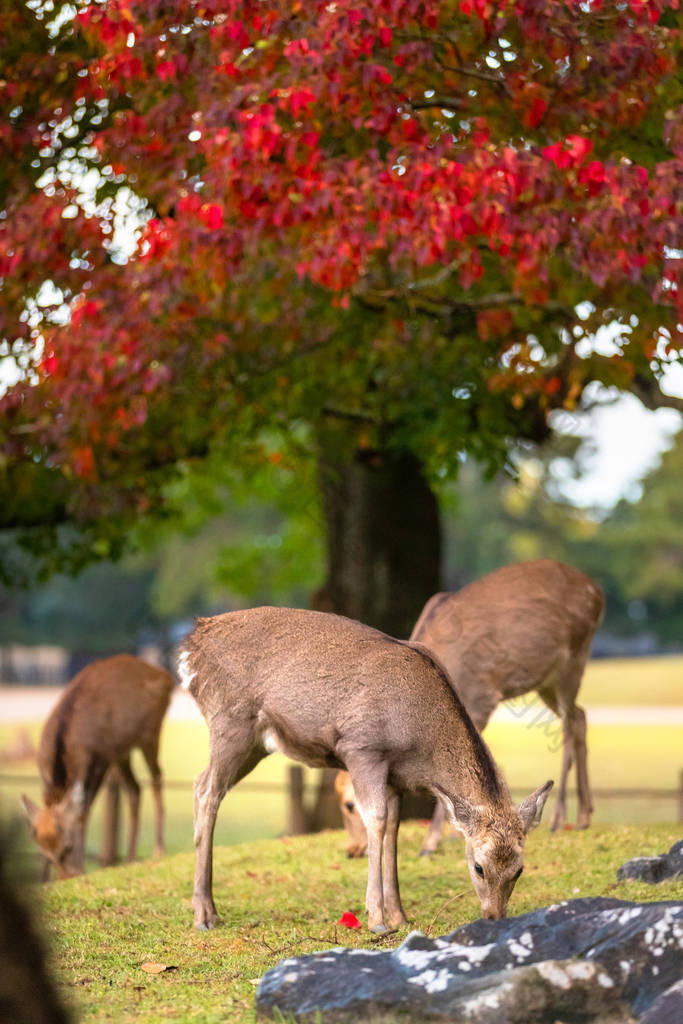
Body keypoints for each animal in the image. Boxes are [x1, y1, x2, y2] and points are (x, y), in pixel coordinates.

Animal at [22, 655, 175, 880]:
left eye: (68, 847)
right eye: (46, 854)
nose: (67, 878)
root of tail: (167, 677)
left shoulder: (99, 757)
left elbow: (84, 810)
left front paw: (82, 868)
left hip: (151, 732)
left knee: (157, 777)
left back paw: (159, 850)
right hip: (121, 752)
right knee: (135, 788)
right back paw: (130, 858)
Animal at [178, 606, 557, 937]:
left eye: (519, 869)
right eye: (478, 867)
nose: (494, 916)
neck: (420, 745)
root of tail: (190, 647)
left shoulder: (396, 778)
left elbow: (393, 829)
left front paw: (400, 915)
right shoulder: (363, 749)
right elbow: (375, 820)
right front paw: (376, 918)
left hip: (255, 743)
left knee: (200, 783)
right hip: (230, 722)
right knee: (207, 790)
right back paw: (204, 914)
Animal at [335, 557, 602, 860]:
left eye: (349, 805)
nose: (352, 850)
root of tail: (597, 591)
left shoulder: (480, 699)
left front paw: (430, 843)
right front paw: (453, 834)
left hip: (573, 658)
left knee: (568, 725)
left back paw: (559, 819)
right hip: (546, 681)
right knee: (580, 716)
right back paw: (584, 816)